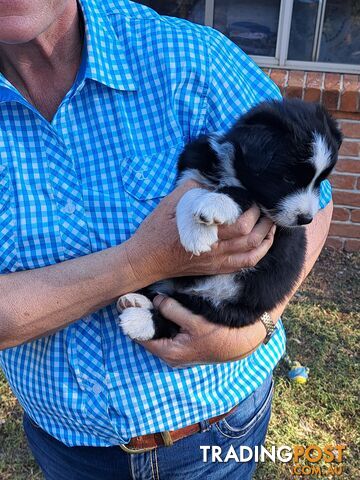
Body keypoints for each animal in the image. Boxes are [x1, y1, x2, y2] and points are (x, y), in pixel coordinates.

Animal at [116, 99, 342, 342]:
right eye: (288, 178)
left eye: (320, 182)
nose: (306, 219)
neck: (233, 170)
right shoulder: (192, 170)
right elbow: (190, 193)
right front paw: (196, 232)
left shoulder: (270, 218)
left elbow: (240, 194)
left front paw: (208, 215)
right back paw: (136, 301)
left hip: (226, 306)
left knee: (183, 310)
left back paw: (139, 320)